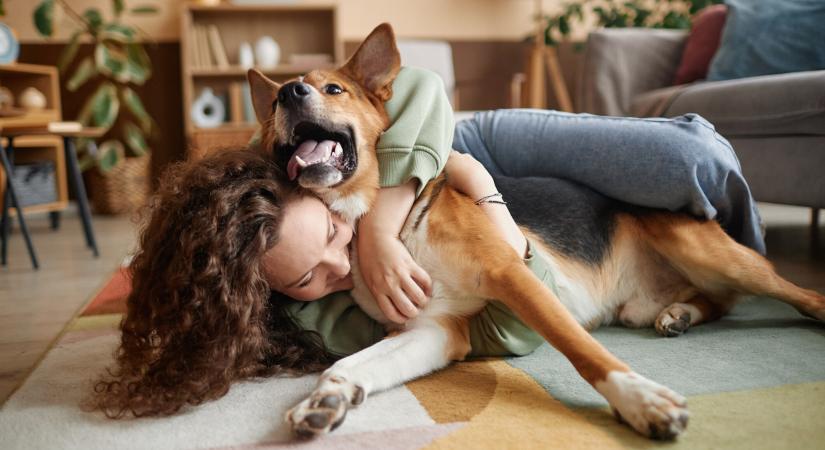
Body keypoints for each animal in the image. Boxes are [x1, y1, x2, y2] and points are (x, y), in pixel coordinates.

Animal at [246, 23, 824, 440]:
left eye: (334, 88)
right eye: (275, 105)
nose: (290, 92)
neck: (385, 225)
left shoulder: (512, 274)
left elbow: (583, 351)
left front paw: (639, 399)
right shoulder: (433, 329)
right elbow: (354, 363)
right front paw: (328, 397)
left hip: (708, 251)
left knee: (793, 294)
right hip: (651, 299)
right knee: (716, 302)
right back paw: (679, 313)